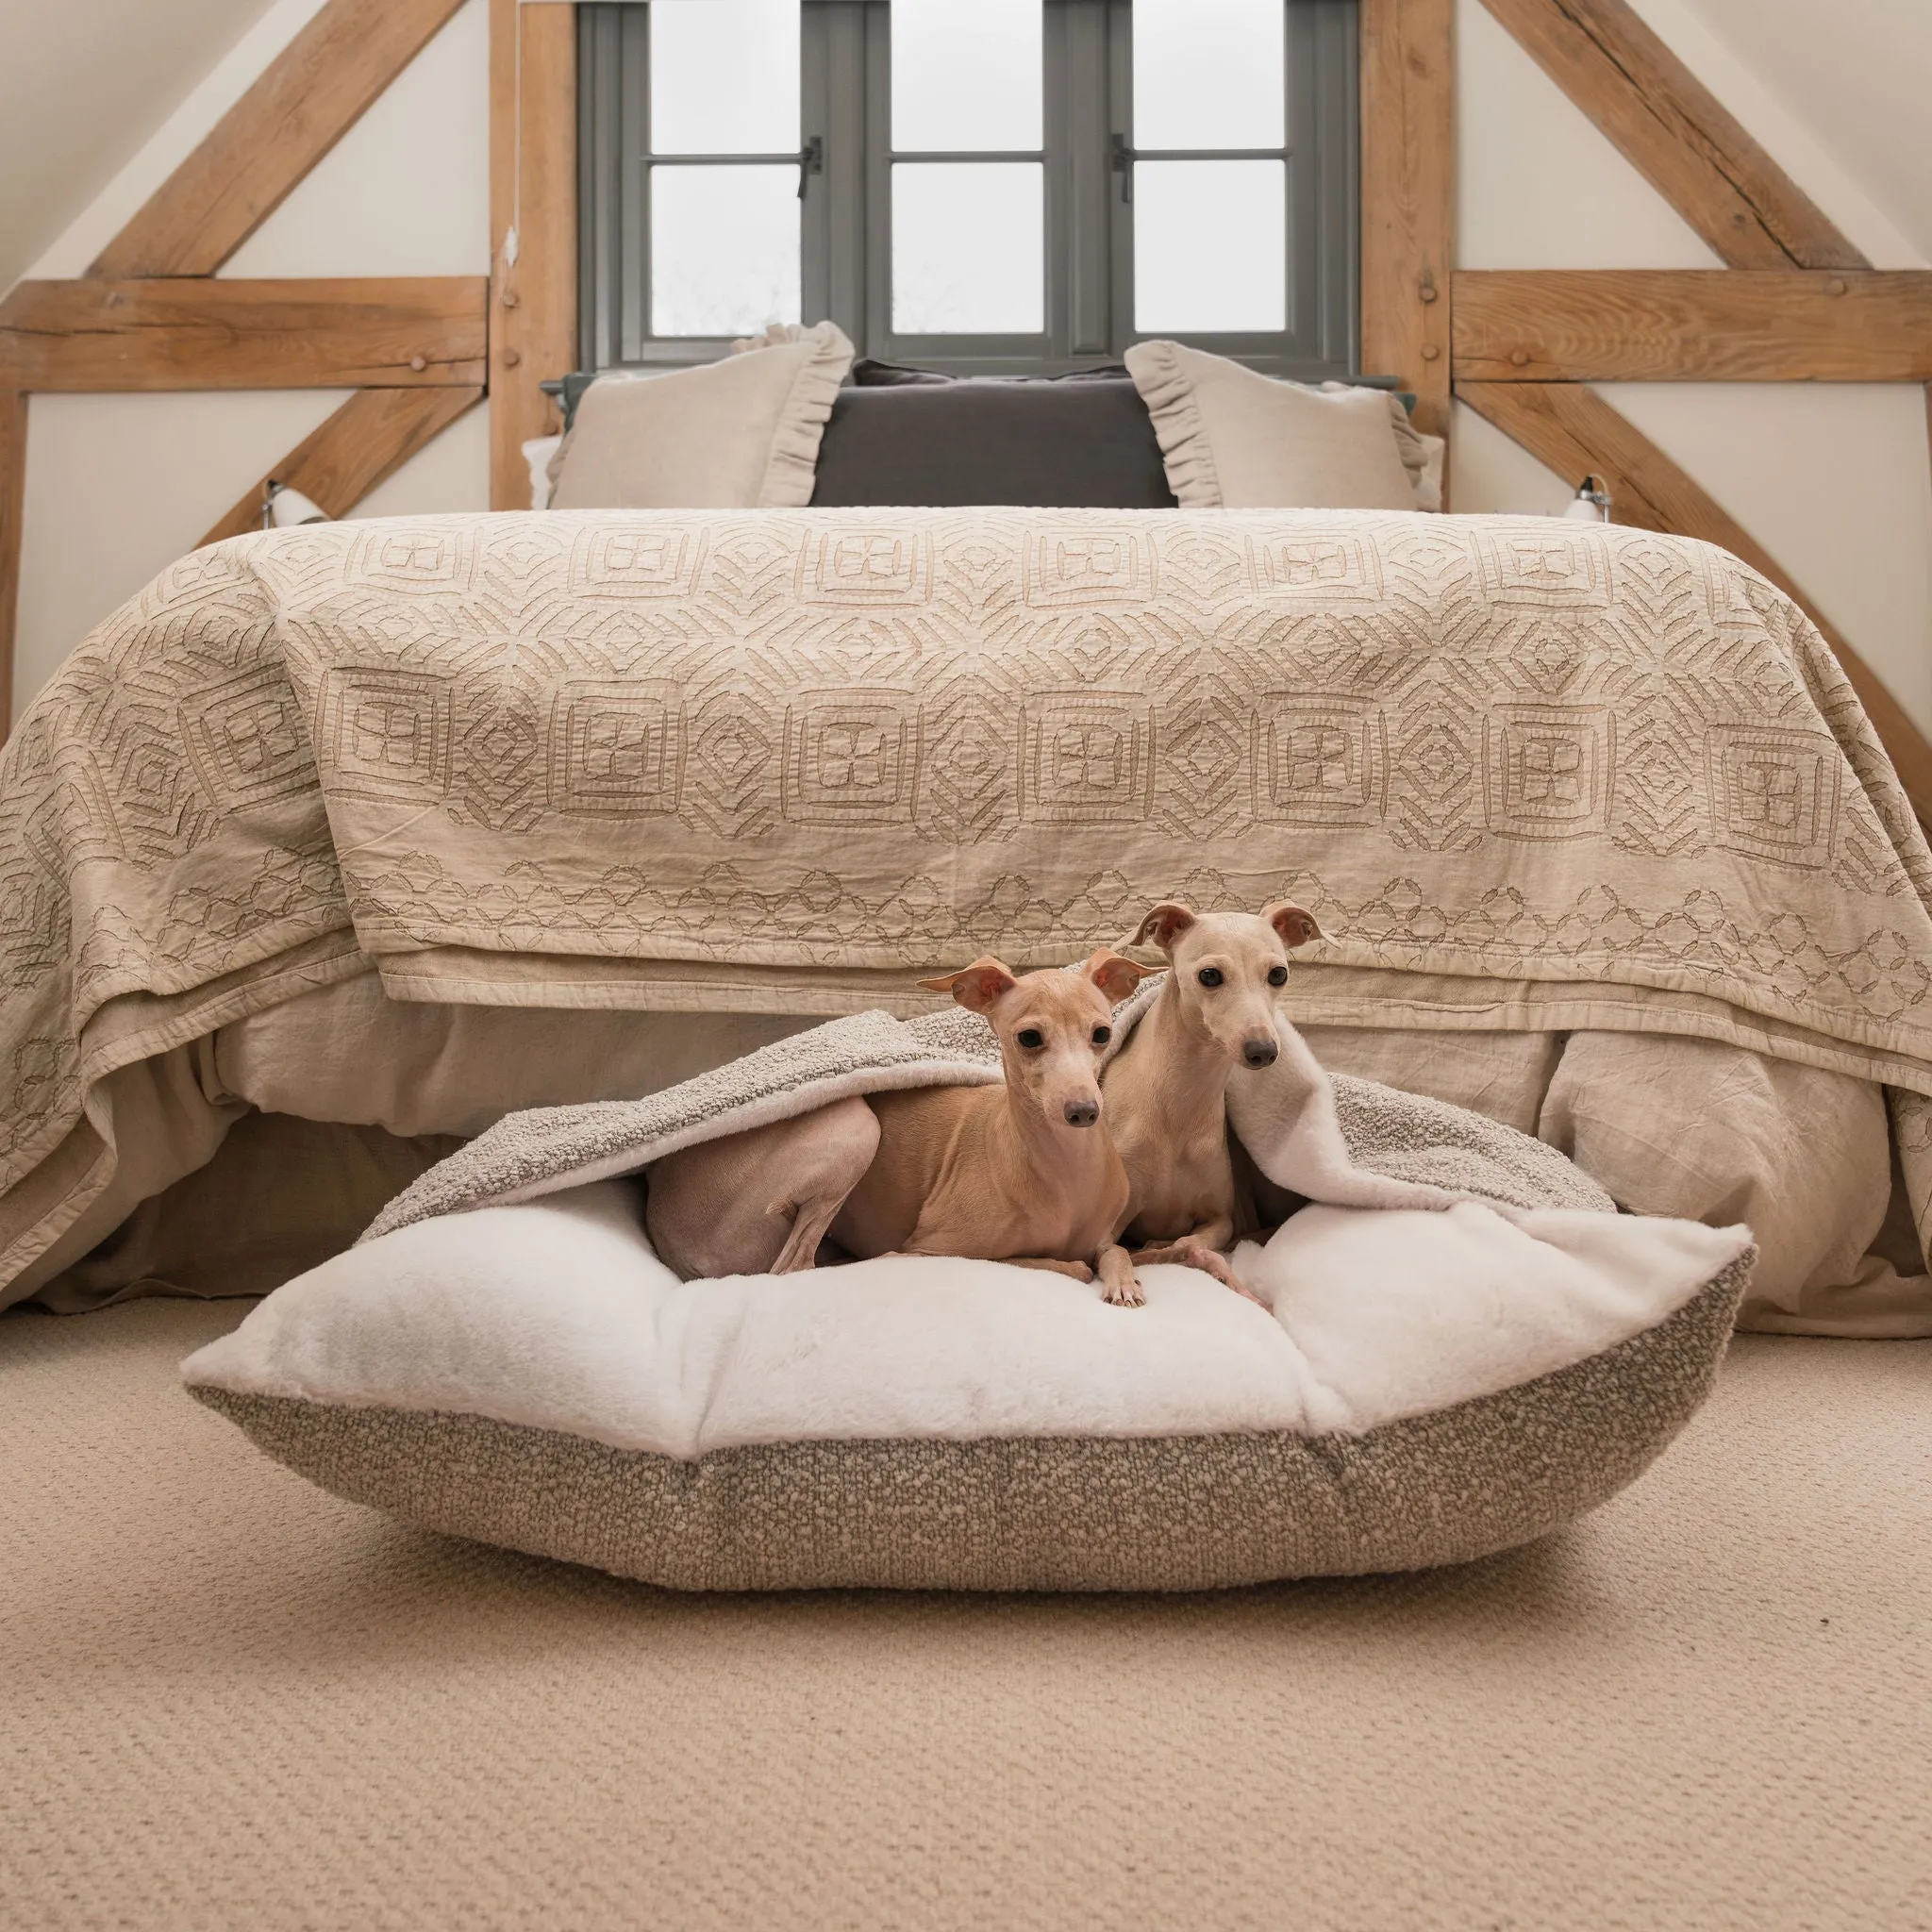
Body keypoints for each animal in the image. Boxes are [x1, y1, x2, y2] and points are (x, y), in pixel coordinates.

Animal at [649, 950, 1143, 1298]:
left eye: (1102, 1033)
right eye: (1029, 1038)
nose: (1083, 1111)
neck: (1064, 1169)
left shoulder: (1104, 1234)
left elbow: (1113, 1250)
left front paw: (1125, 1282)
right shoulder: (931, 1247)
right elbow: (1059, 1264)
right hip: (853, 1123)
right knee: (794, 1267)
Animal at [1105, 900, 1329, 1298]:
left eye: (1278, 974)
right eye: (1209, 976)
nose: (1263, 1051)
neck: (1178, 1105)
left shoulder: (1221, 1218)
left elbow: (1191, 1242)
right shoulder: (1106, 1223)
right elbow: (1113, 1248)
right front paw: (1125, 1277)